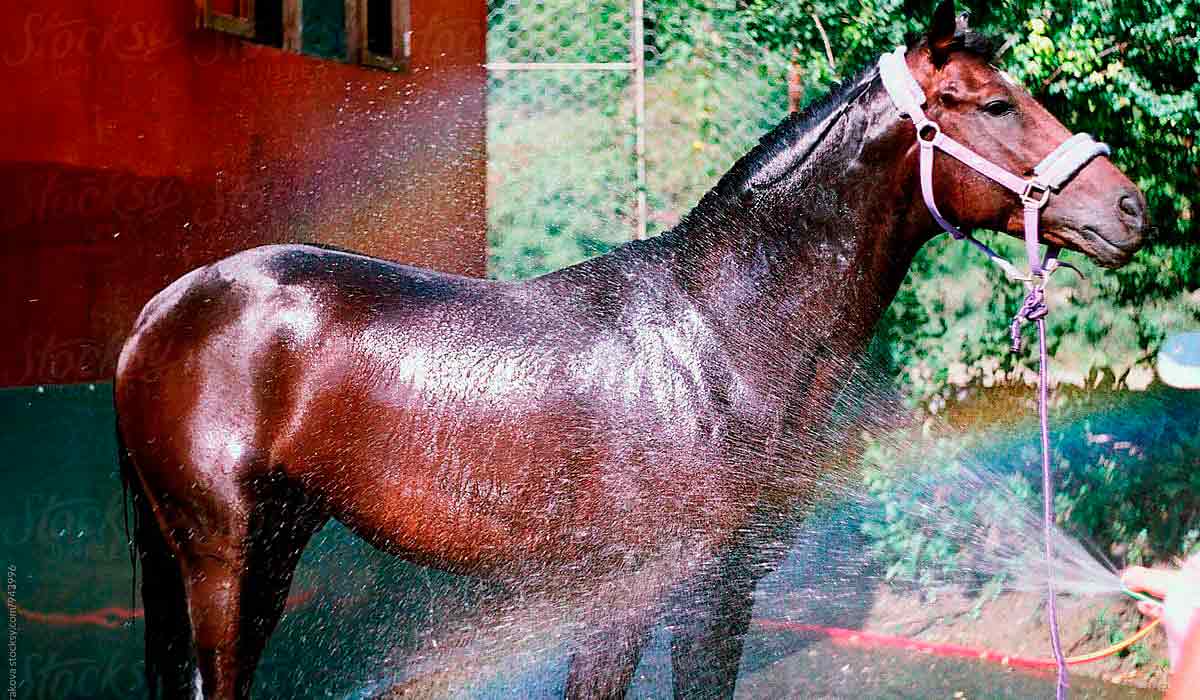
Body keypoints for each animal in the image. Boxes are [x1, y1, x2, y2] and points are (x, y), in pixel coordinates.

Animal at [119, 2, 1142, 696]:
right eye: (992, 104)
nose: (1129, 208)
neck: (720, 340)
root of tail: (161, 312)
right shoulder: (631, 594)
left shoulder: (723, 590)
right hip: (219, 555)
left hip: (271, 547)